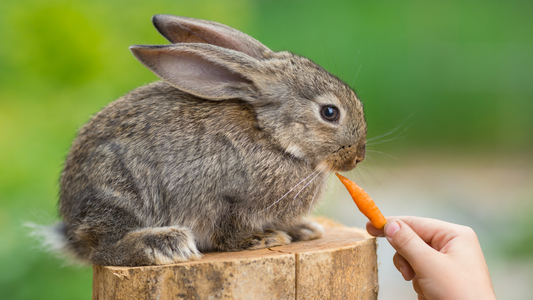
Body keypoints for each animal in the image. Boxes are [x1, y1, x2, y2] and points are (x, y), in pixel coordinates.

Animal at [46, 15, 366, 266]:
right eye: (329, 112)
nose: (358, 157)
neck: (273, 137)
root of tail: (71, 230)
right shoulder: (226, 200)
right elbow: (230, 231)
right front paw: (265, 239)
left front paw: (304, 230)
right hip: (120, 190)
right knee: (103, 249)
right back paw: (165, 244)